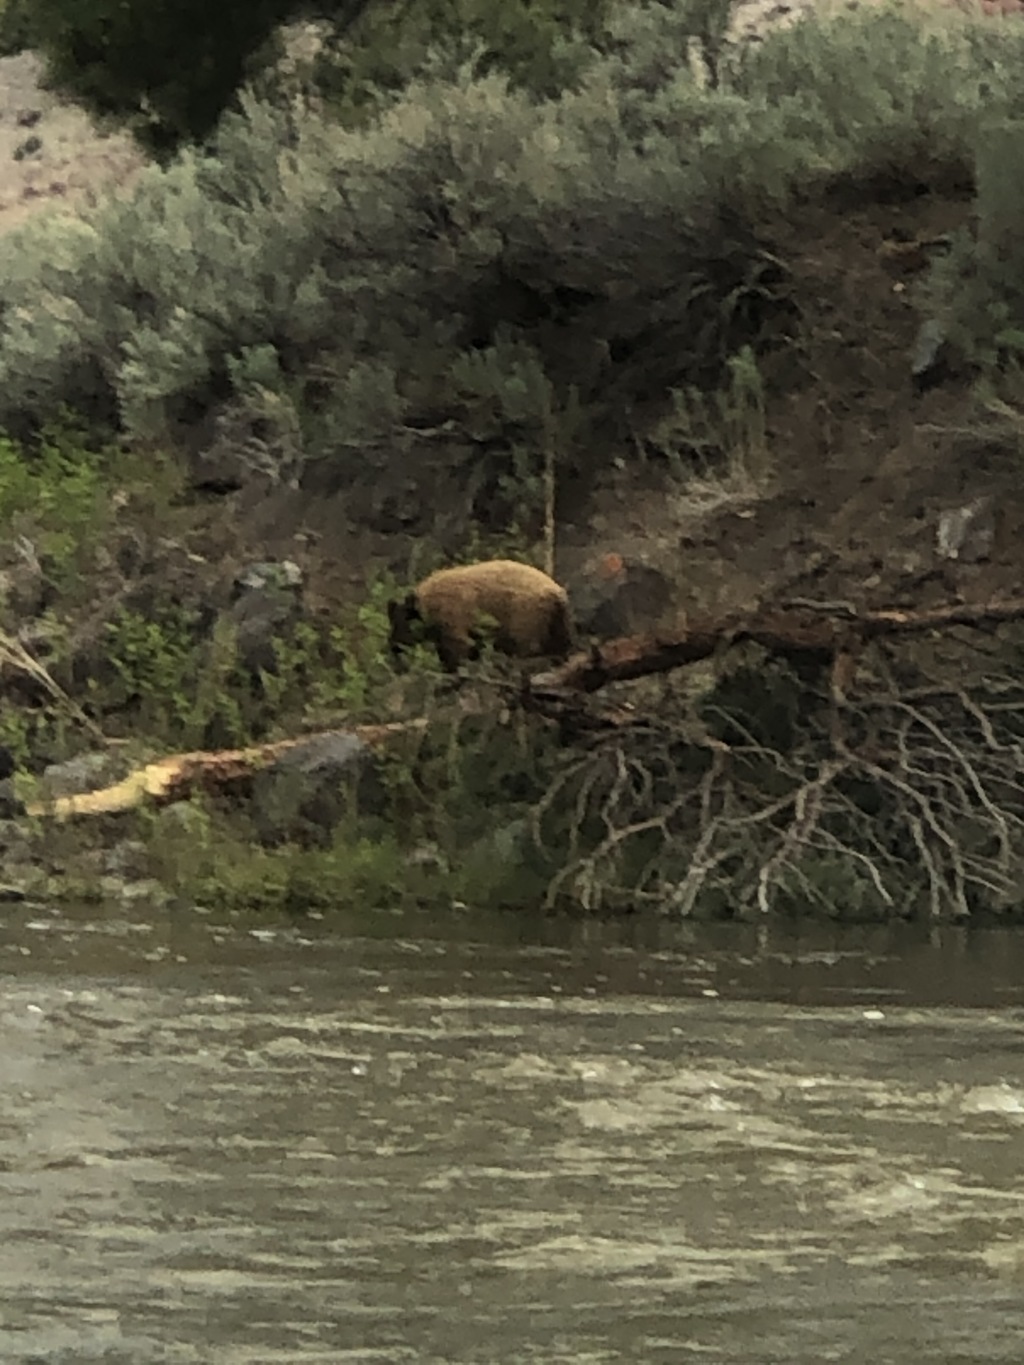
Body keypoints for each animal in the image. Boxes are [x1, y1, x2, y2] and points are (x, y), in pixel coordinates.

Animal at [387, 560, 574, 673]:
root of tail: (556, 592)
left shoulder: (451, 614)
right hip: (556, 620)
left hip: (526, 612)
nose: (393, 647)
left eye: (398, 625)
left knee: (526, 644)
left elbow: (458, 647)